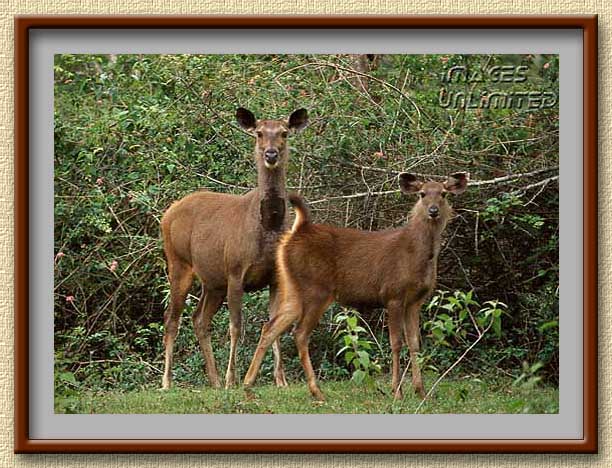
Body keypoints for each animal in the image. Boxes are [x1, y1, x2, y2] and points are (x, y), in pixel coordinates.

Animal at [161, 108, 308, 390]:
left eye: (284, 132)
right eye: (259, 132)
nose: (271, 154)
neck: (267, 230)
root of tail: (167, 214)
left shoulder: (275, 277)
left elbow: (272, 323)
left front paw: (280, 379)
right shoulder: (235, 271)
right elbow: (236, 326)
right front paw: (233, 379)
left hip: (212, 281)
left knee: (199, 319)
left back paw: (214, 381)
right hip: (178, 262)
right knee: (171, 319)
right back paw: (167, 382)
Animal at [241, 171, 466, 398]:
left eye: (444, 194)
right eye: (422, 194)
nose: (433, 211)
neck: (416, 255)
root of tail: (298, 230)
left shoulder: (415, 301)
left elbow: (414, 343)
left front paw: (421, 391)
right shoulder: (393, 294)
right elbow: (396, 342)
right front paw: (397, 391)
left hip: (292, 289)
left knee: (270, 327)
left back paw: (248, 384)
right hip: (316, 290)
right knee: (300, 333)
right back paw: (316, 391)